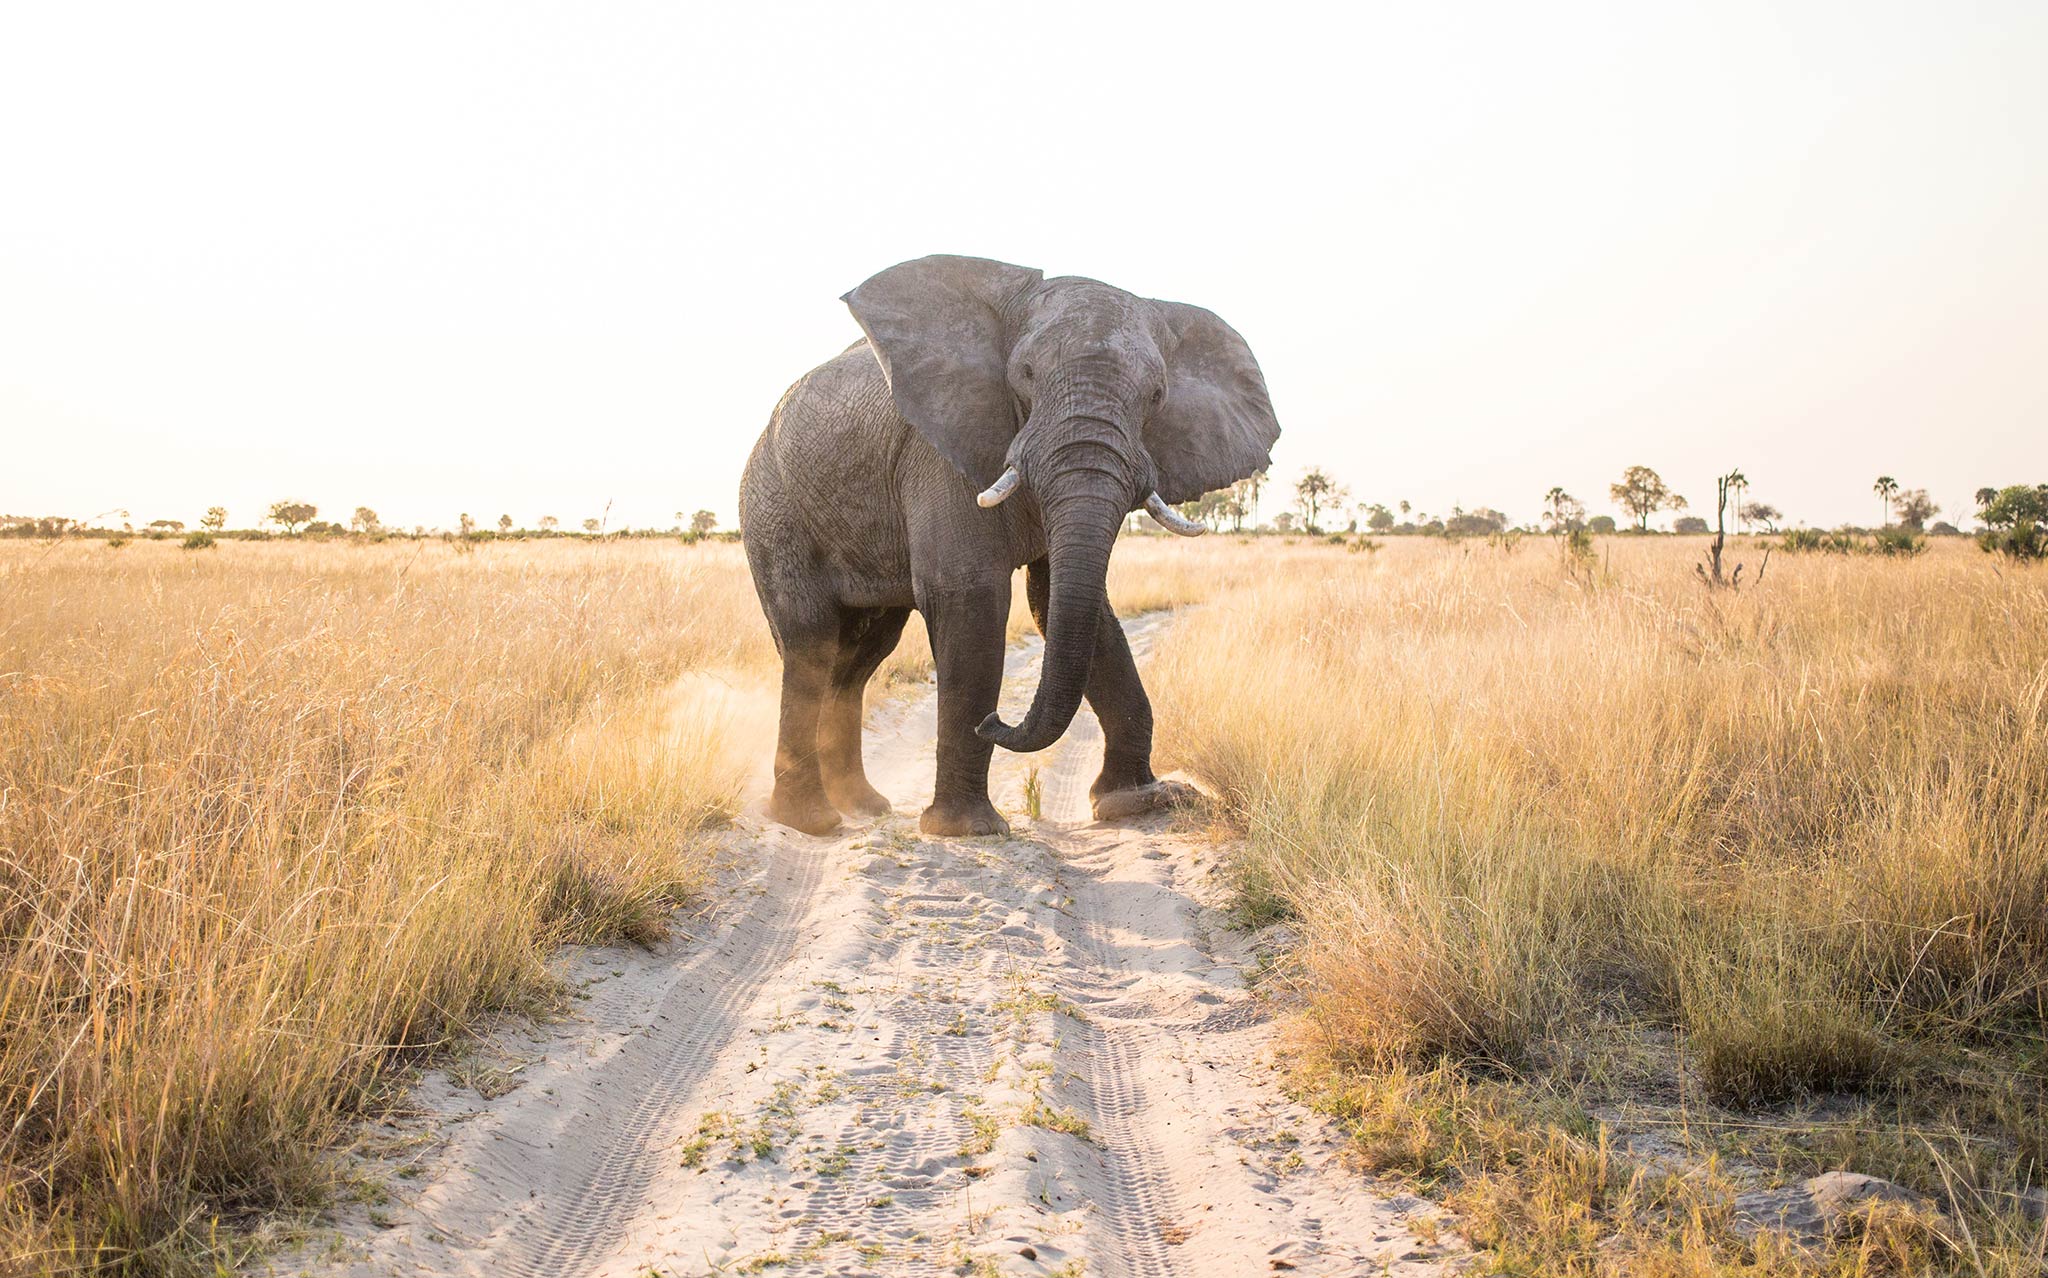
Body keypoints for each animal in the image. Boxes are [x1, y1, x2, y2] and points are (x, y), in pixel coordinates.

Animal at [737, 258, 1277, 839]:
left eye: (1156, 396)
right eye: (1026, 375)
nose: (994, 720)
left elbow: (1062, 602)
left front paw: (1140, 803)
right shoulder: (939, 450)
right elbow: (969, 593)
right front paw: (968, 830)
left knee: (859, 657)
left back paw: (864, 806)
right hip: (772, 504)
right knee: (811, 641)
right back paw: (811, 821)